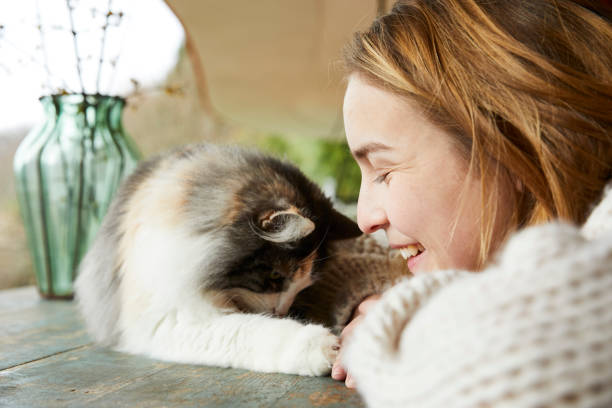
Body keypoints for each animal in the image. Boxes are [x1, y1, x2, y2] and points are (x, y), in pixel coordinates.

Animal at [74, 143, 366, 376]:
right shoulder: (167, 316)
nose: (282, 312)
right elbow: (247, 330)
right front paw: (320, 346)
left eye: (303, 287)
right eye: (275, 276)